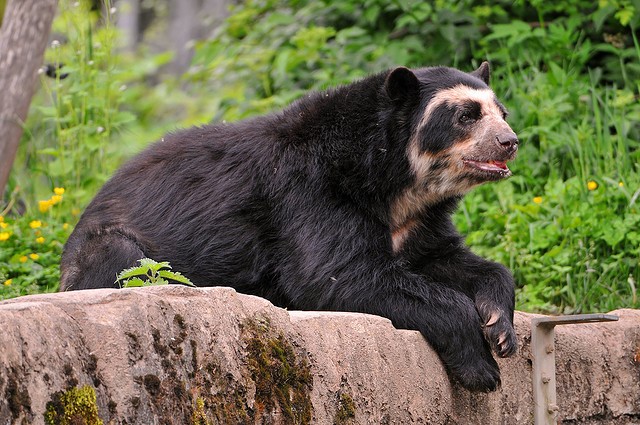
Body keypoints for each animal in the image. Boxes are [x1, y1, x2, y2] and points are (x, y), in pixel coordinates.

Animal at [60, 62, 520, 390]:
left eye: (502, 113)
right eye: (466, 115)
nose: (510, 141)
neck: (396, 183)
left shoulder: (418, 222)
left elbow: (450, 259)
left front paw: (500, 328)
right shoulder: (309, 192)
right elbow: (339, 275)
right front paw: (481, 368)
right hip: (108, 248)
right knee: (120, 260)